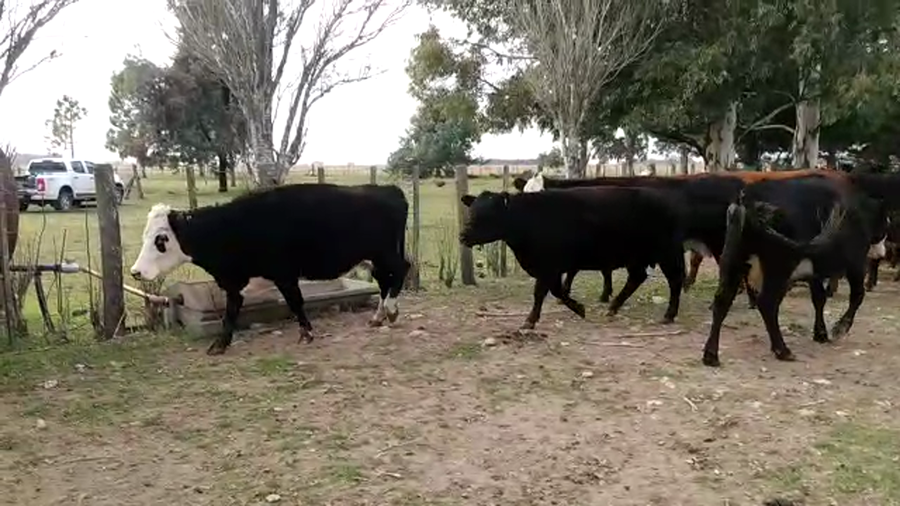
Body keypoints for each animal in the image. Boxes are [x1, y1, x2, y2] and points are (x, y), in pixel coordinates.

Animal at [129, 183, 411, 355]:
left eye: (161, 240)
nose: (135, 272)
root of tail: (388, 189)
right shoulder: (235, 281)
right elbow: (230, 312)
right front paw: (220, 344)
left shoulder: (284, 274)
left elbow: (295, 302)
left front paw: (306, 333)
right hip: (375, 258)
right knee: (384, 281)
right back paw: (378, 316)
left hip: (385, 253)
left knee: (401, 270)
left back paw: (390, 311)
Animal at [458, 186, 689, 329]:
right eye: (472, 211)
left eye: (488, 214)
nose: (463, 236)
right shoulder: (550, 268)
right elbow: (557, 290)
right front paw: (578, 308)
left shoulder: (548, 267)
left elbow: (543, 292)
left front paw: (531, 320)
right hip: (636, 257)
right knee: (637, 278)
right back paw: (613, 307)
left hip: (667, 254)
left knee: (675, 281)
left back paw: (669, 315)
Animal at [702, 176, 888, 367]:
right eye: (884, 224)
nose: (882, 254)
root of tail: (746, 200)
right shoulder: (855, 263)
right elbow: (857, 295)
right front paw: (839, 329)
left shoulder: (815, 272)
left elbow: (819, 298)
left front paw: (820, 333)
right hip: (777, 269)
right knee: (767, 303)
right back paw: (782, 350)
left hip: (732, 261)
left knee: (722, 301)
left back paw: (711, 355)